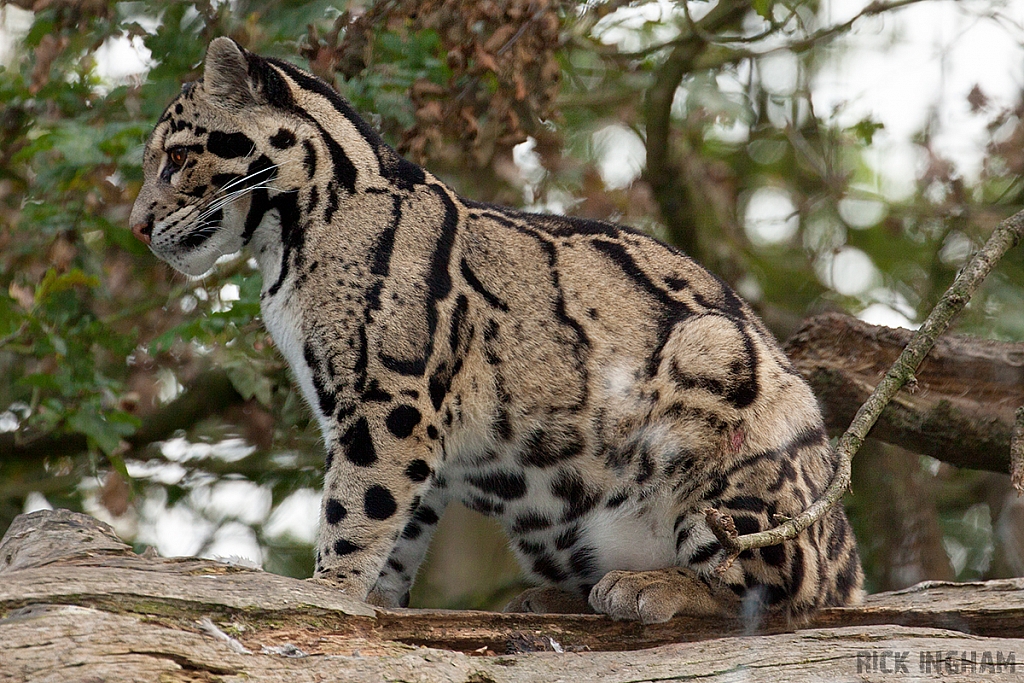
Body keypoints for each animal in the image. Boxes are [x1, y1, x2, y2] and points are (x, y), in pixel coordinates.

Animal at [130, 38, 864, 626]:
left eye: (175, 158)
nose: (136, 226)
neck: (286, 244)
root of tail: (842, 541)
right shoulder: (396, 426)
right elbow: (397, 524)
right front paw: (375, 601)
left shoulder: (389, 400)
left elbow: (358, 507)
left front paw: (327, 590)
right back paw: (563, 595)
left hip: (715, 377)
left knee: (785, 589)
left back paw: (649, 585)